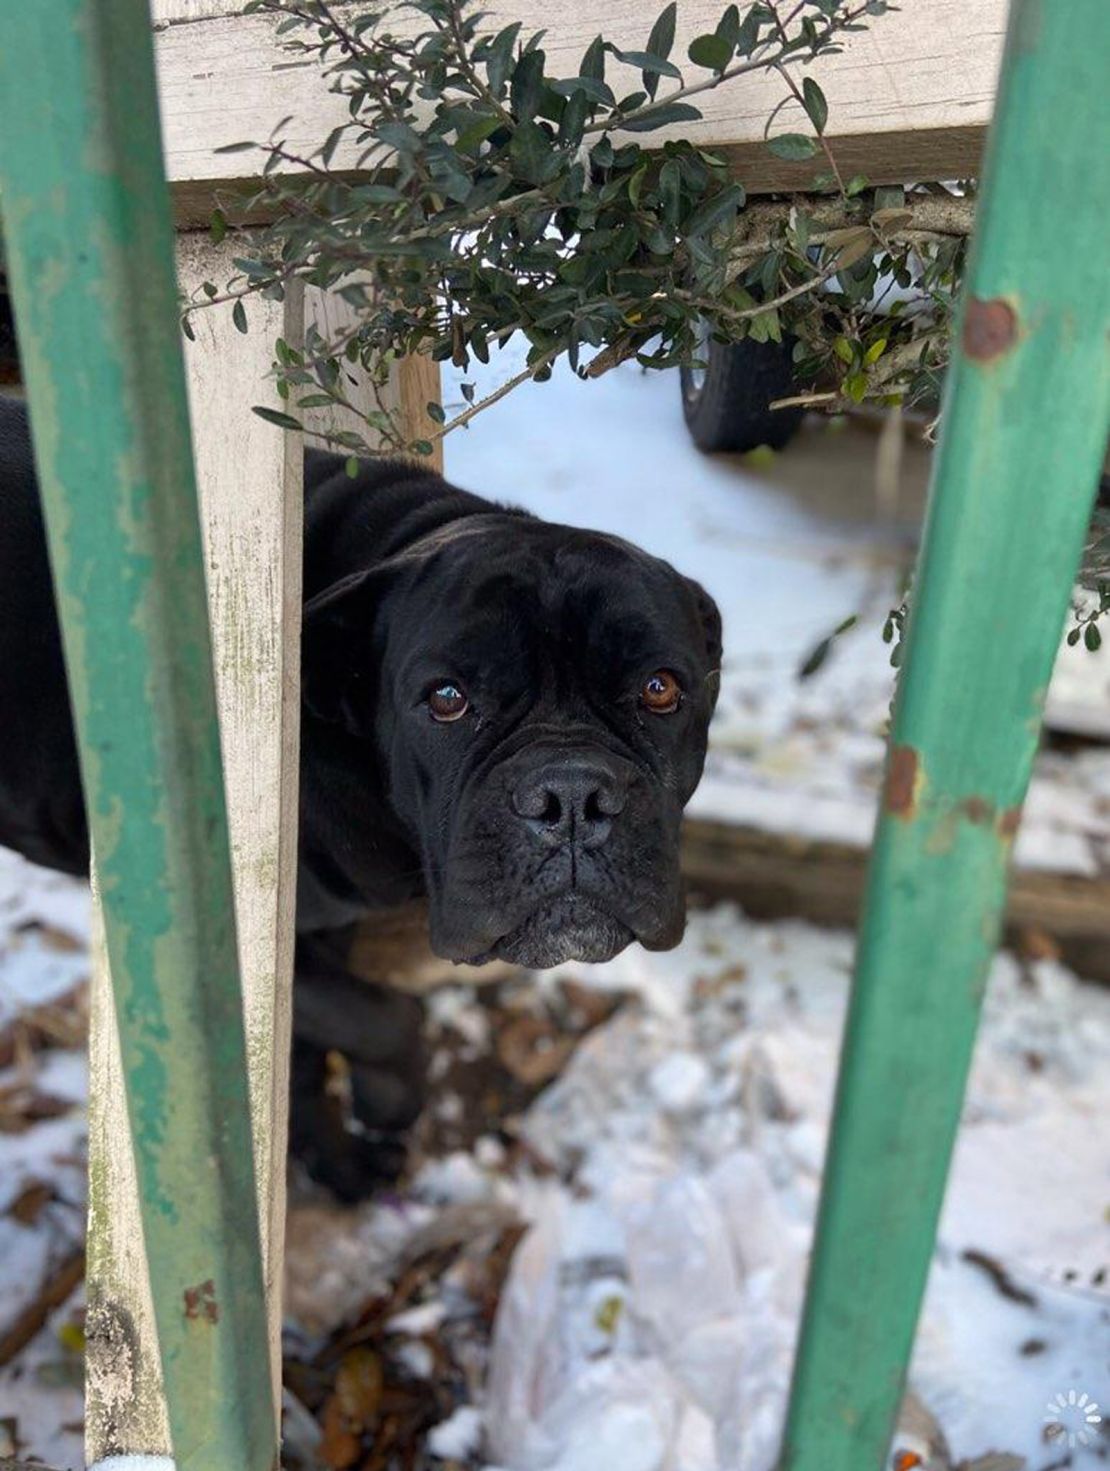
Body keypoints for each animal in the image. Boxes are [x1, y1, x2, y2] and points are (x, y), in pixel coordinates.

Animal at [0, 397, 720, 1200]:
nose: (569, 796)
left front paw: (331, 1155)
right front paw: (386, 1109)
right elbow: (383, 1016)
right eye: (446, 698)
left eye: (660, 687)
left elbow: (312, 1048)